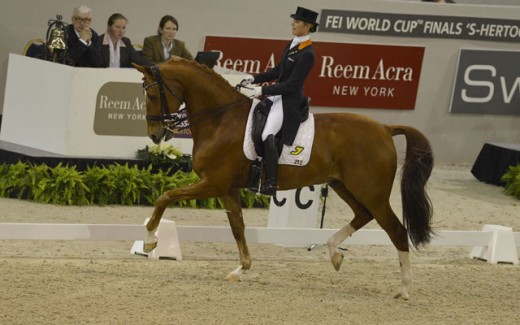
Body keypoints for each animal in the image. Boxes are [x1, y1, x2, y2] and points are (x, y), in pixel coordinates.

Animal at [132, 57, 432, 298]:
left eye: (153, 95)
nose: (155, 135)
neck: (221, 120)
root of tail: (385, 128)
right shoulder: (227, 189)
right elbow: (237, 227)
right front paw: (241, 269)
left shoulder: (213, 184)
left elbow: (164, 197)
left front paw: (150, 240)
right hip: (344, 185)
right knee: (363, 215)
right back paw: (334, 252)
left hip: (371, 192)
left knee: (396, 230)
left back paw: (404, 289)